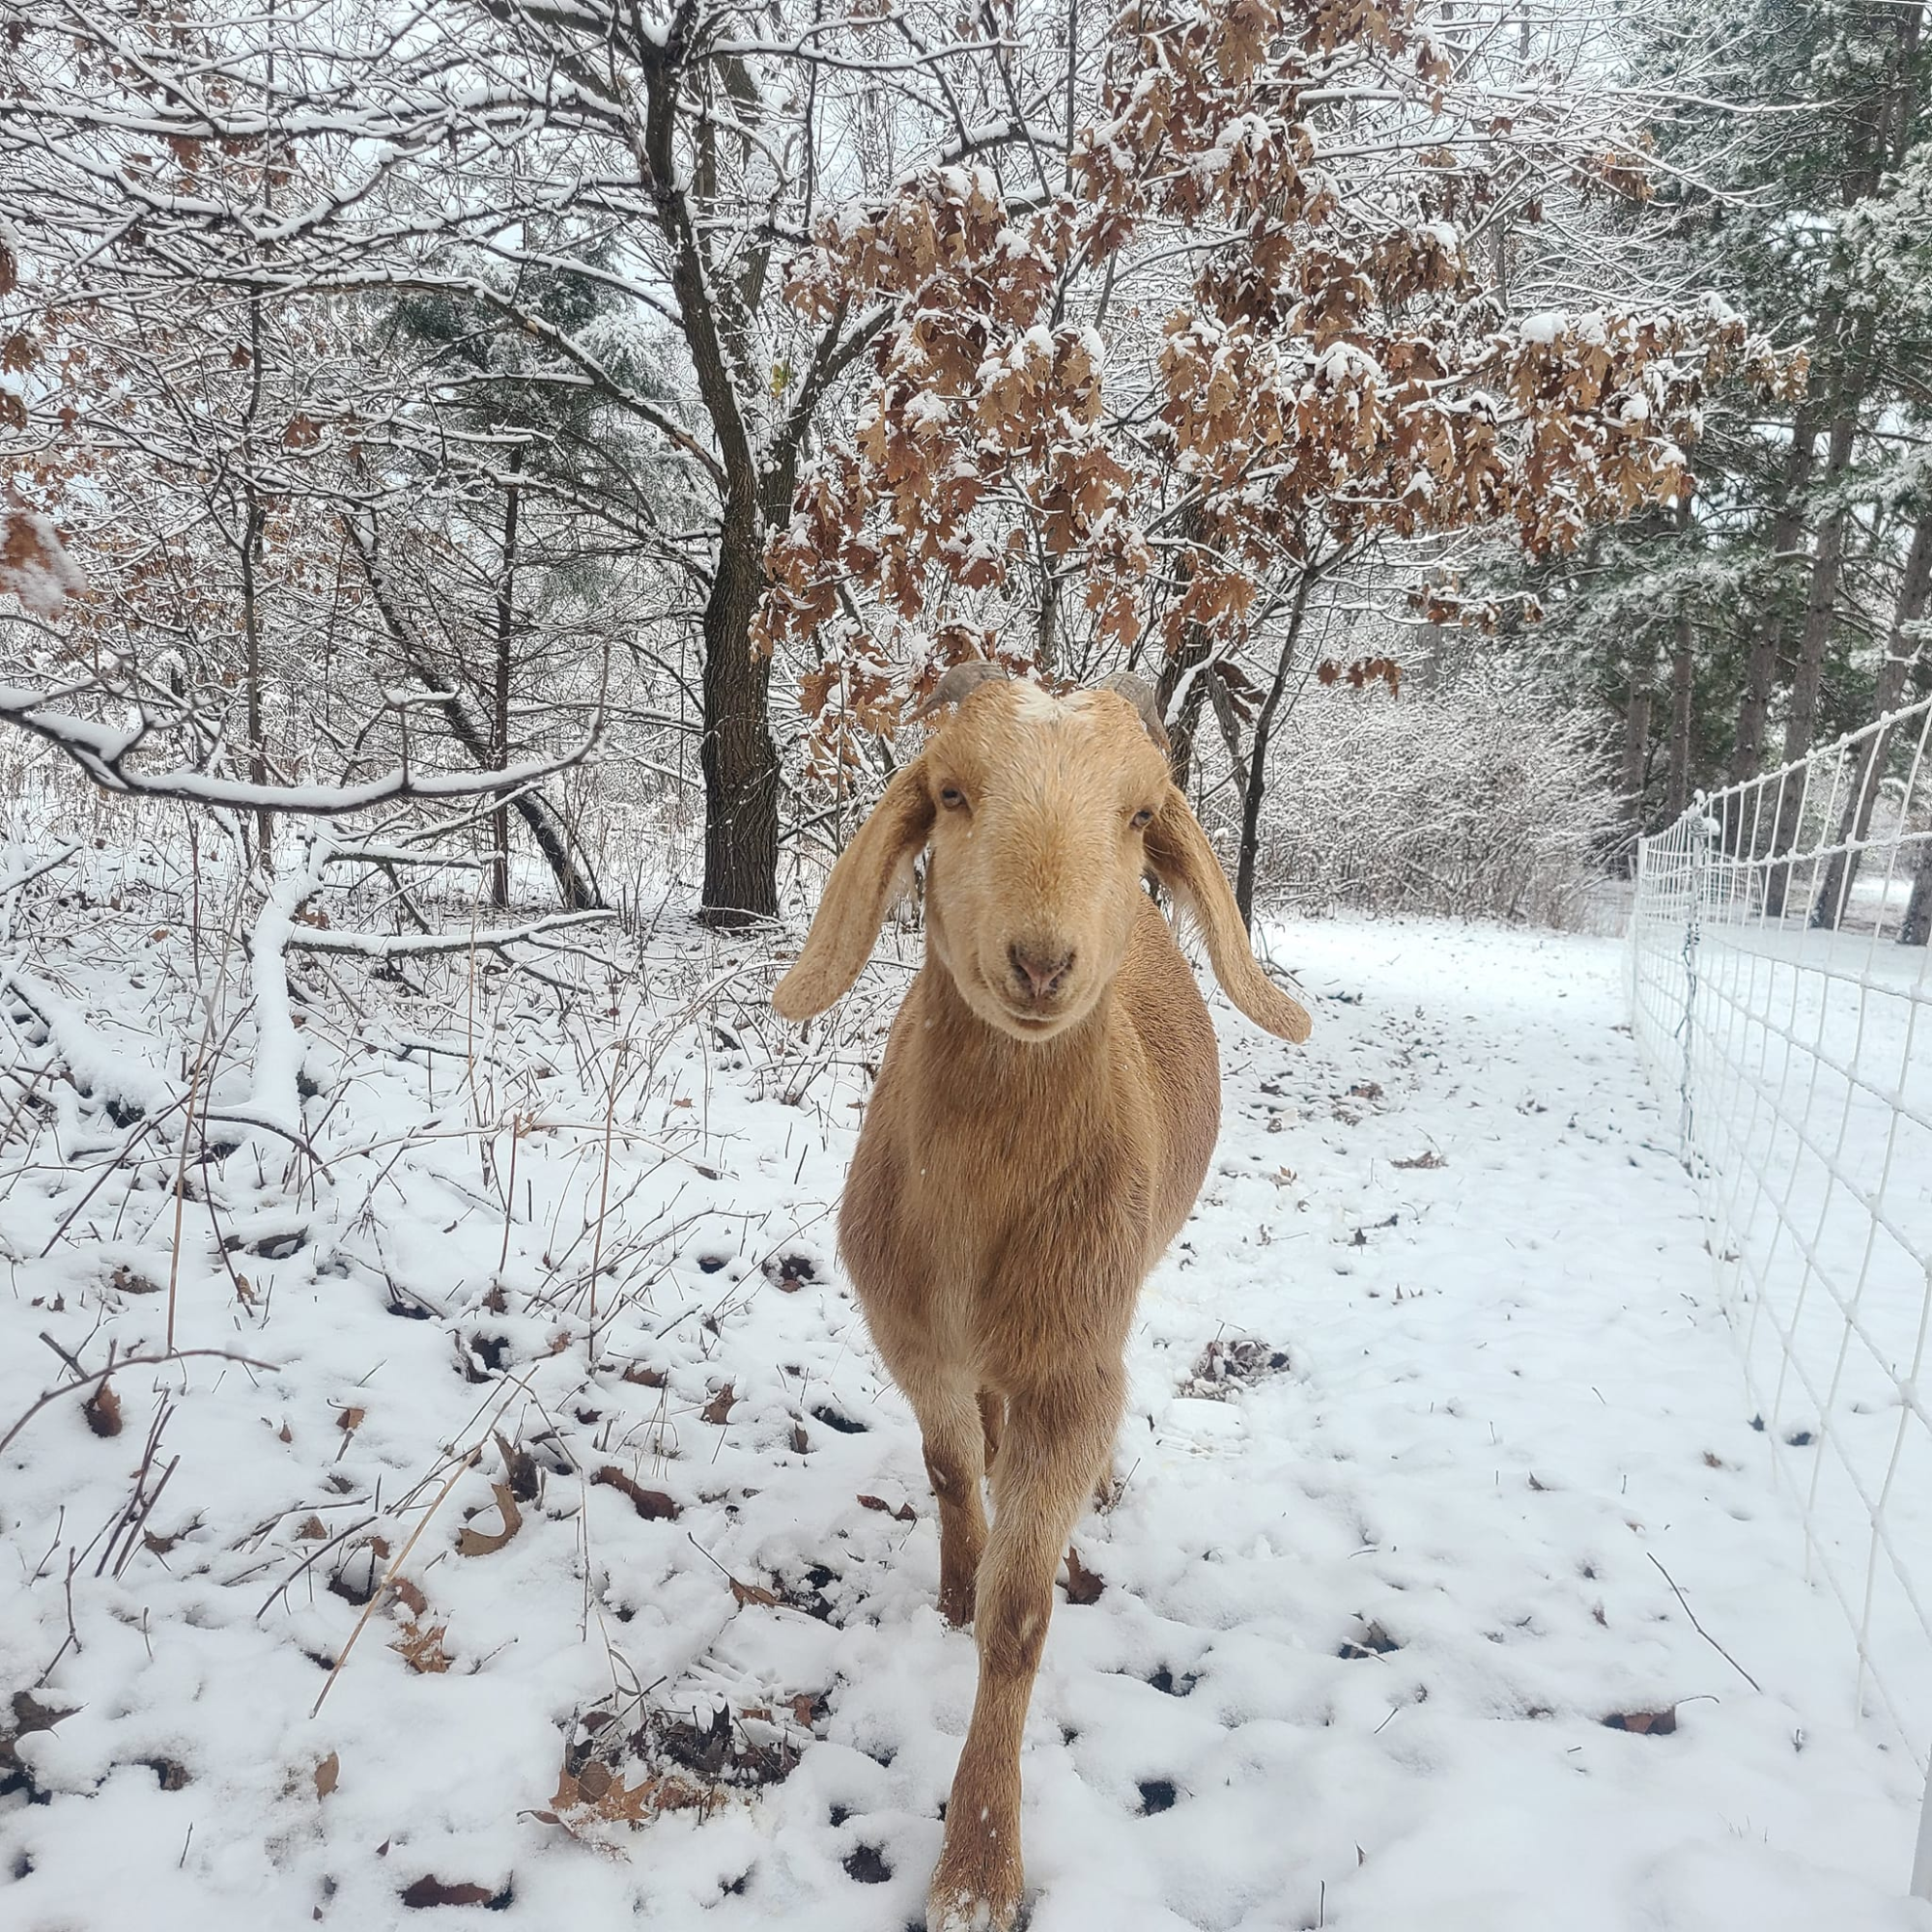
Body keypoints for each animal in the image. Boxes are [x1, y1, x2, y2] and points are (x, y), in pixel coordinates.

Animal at [772, 664, 1312, 1932]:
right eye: (951, 792)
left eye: (1138, 812)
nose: (1038, 960)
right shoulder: (912, 1338)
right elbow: (944, 1471)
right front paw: (951, 1590)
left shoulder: (1073, 1365)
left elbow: (1020, 1619)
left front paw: (976, 1867)